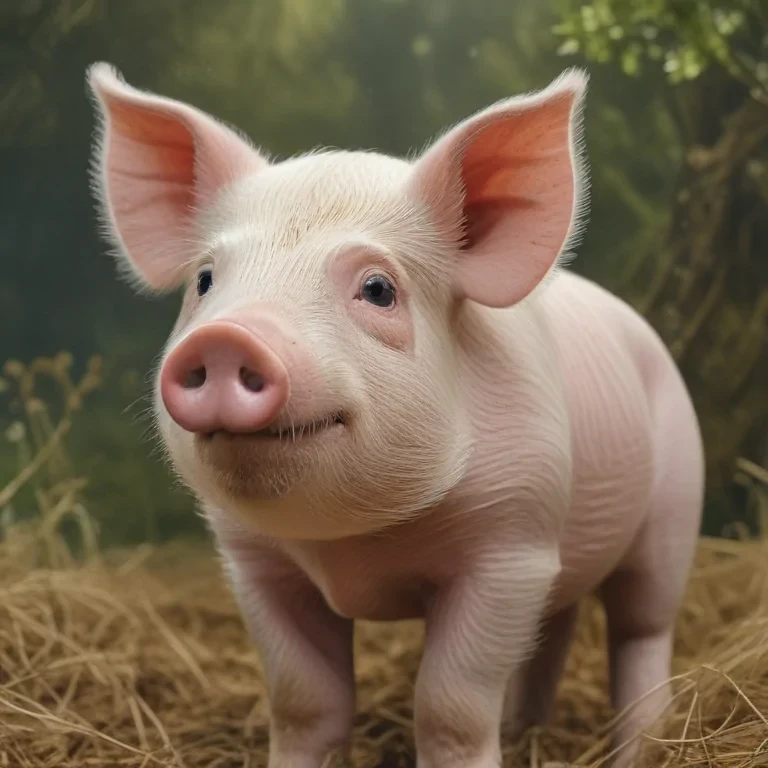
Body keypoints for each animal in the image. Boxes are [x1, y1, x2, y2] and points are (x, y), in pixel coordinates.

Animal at [86, 61, 704, 768]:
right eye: (206, 280)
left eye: (379, 289)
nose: (226, 338)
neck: (352, 546)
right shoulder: (254, 562)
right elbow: (304, 700)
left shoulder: (512, 544)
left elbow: (448, 705)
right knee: (557, 626)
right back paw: (526, 729)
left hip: (674, 505)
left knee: (642, 628)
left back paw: (642, 745)